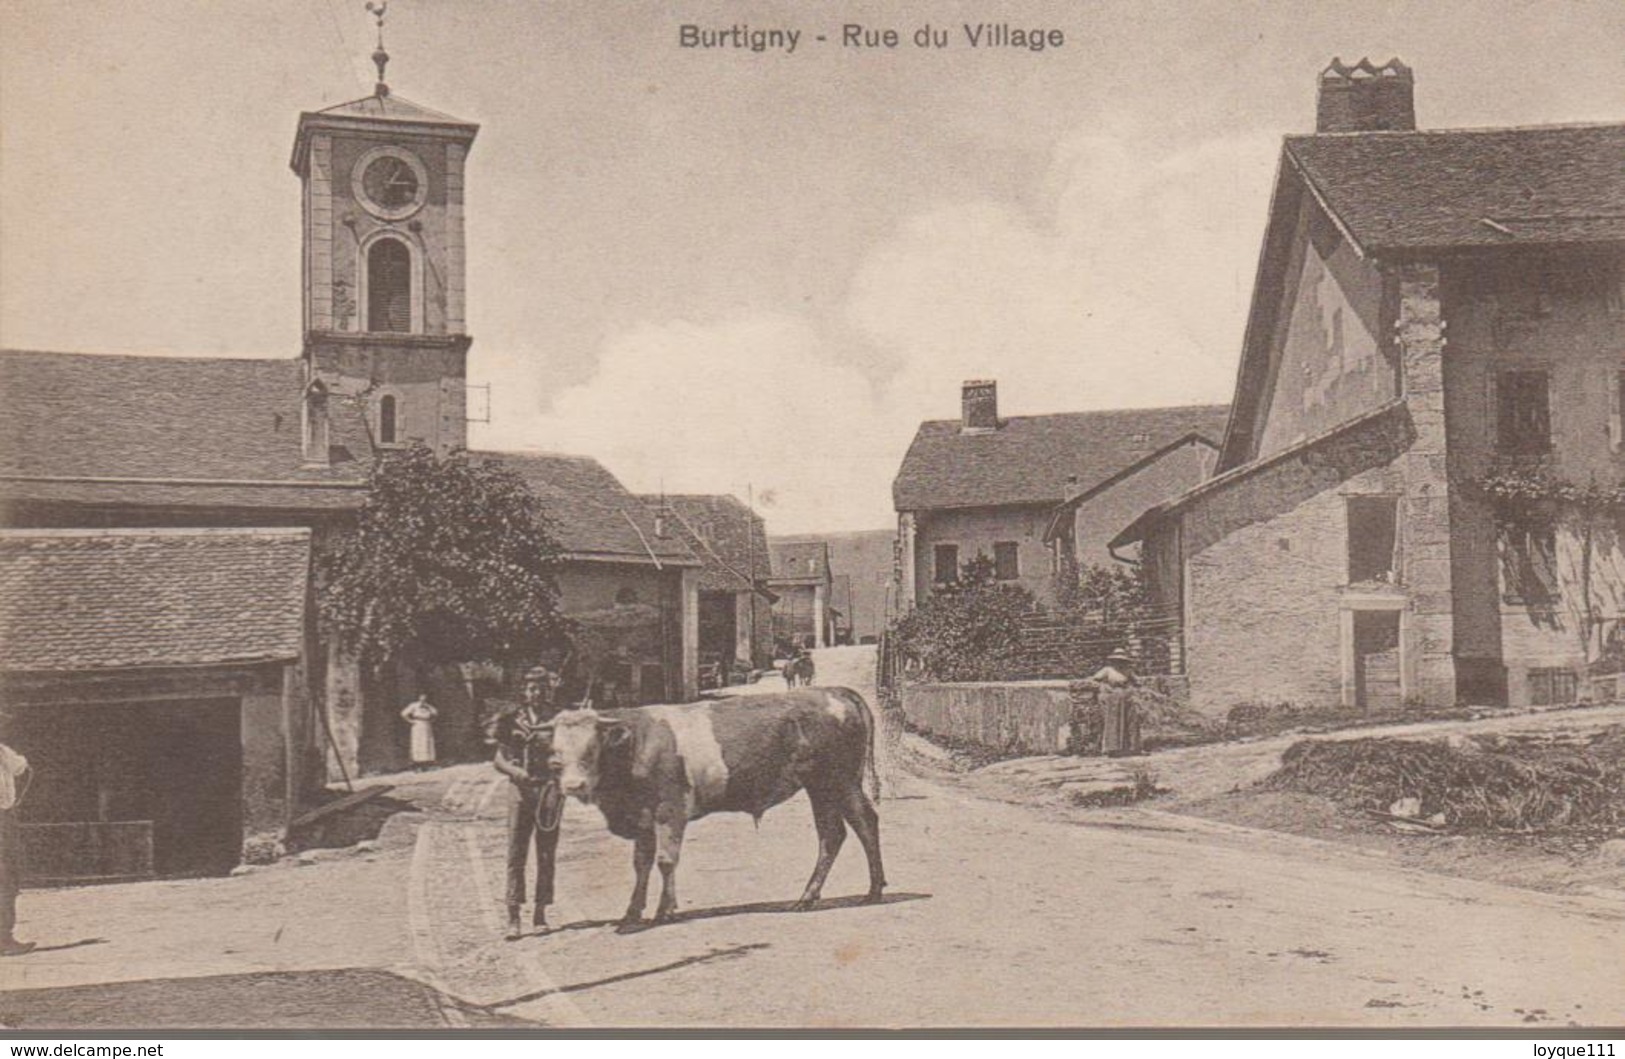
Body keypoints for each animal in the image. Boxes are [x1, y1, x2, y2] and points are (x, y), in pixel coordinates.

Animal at [539, 685, 884, 929]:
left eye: (591, 748)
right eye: (555, 753)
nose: (573, 785)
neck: (636, 744)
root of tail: (834, 691)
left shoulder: (669, 810)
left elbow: (665, 861)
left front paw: (665, 911)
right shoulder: (642, 818)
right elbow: (641, 864)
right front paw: (631, 913)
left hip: (840, 780)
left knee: (865, 822)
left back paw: (873, 890)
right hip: (820, 787)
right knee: (832, 834)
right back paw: (808, 897)